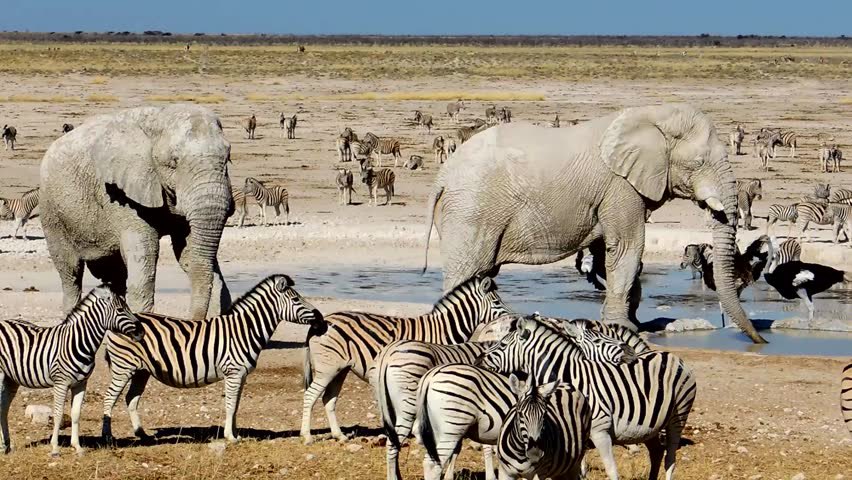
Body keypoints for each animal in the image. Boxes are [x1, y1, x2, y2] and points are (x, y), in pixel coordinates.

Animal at [40, 104, 234, 321]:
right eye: (173, 162)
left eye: (228, 158)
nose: (193, 319)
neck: (159, 117)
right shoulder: (118, 191)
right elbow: (145, 251)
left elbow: (188, 252)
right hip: (51, 211)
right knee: (71, 272)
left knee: (113, 274)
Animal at [423, 103, 766, 343]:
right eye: (698, 163)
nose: (759, 340)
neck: (652, 115)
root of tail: (442, 176)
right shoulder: (621, 187)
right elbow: (627, 248)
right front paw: (625, 327)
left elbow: (608, 254)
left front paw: (631, 323)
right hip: (470, 212)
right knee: (468, 271)